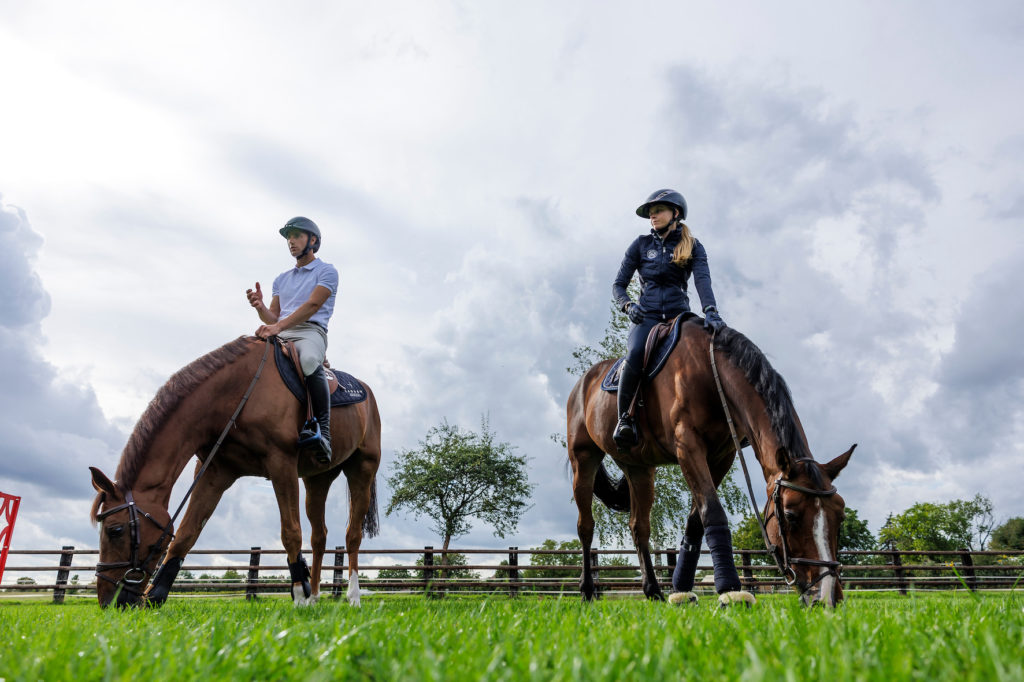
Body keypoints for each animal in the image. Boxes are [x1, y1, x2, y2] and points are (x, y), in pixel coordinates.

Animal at [88, 333, 382, 606]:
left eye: (115, 530)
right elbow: (186, 534)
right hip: (317, 479)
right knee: (319, 536)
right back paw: (316, 598)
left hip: (362, 470)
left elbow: (290, 532)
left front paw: (299, 593)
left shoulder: (282, 463)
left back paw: (353, 597)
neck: (235, 394)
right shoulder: (215, 472)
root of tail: (367, 393)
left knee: (352, 535)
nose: (107, 601)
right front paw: (156, 596)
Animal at [569, 315, 856, 606]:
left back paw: (654, 591)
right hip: (583, 460)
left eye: (840, 515)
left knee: (639, 528)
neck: (709, 374)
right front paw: (730, 589)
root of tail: (585, 381)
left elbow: (697, 519)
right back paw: (587, 591)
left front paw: (681, 588)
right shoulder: (688, 447)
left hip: (639, 469)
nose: (829, 596)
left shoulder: (721, 455)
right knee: (586, 526)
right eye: (790, 515)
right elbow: (713, 511)